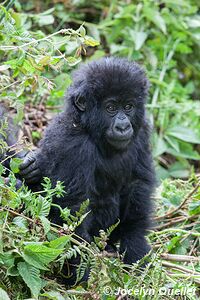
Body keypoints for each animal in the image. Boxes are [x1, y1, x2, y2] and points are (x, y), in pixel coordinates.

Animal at [19, 57, 155, 268]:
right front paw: (82, 270)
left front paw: (135, 244)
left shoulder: (141, 132)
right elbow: (73, 208)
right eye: (111, 108)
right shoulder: (72, 143)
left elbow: (138, 185)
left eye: (128, 107)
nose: (123, 126)